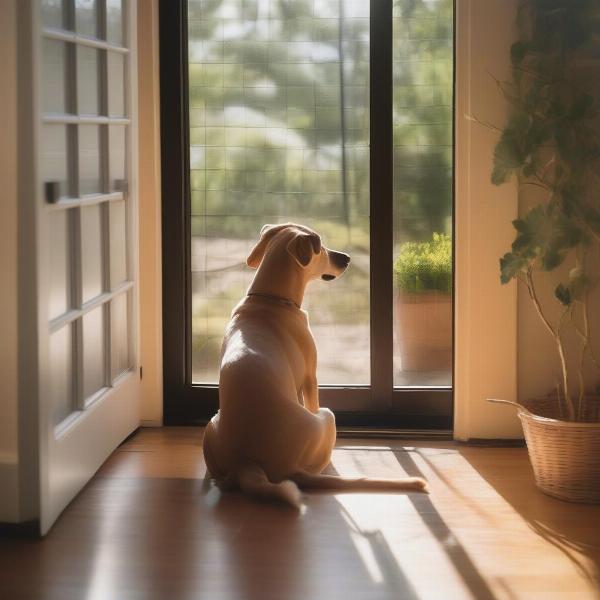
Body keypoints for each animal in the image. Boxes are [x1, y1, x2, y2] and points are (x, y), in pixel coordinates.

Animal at [204, 224, 428, 506]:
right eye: (321, 249)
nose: (346, 258)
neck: (270, 299)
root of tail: (249, 462)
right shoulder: (310, 377)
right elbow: (309, 397)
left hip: (211, 425)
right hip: (327, 416)